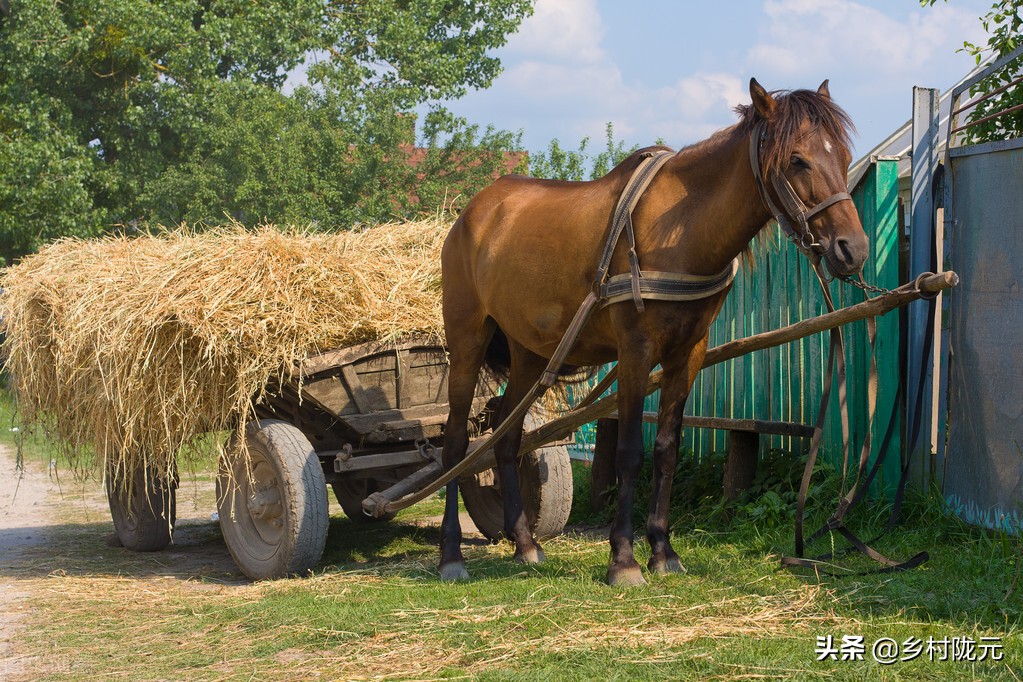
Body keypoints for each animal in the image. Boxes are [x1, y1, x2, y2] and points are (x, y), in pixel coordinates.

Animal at [435, 77, 867, 584]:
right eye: (797, 159)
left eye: (842, 155)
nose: (853, 249)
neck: (680, 228)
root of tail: (475, 211)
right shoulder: (636, 352)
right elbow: (629, 454)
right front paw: (623, 559)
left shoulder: (689, 353)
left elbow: (666, 450)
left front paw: (662, 550)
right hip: (466, 338)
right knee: (455, 443)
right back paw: (450, 555)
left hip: (530, 352)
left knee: (507, 436)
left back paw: (525, 544)